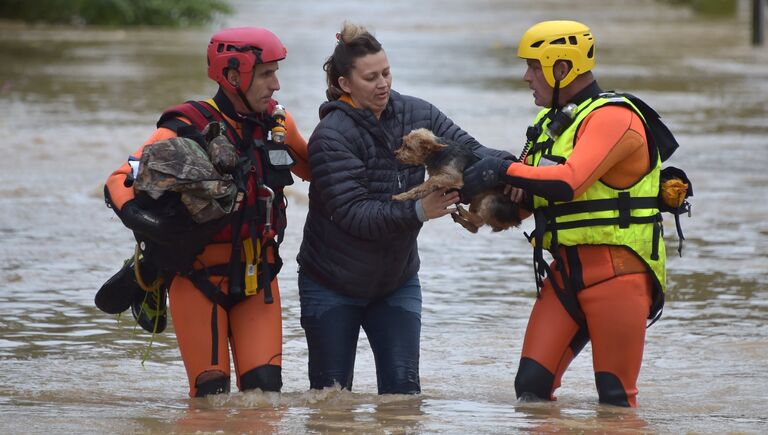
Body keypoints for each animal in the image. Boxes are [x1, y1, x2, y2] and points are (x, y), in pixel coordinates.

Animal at [390, 127, 520, 233]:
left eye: (408, 147)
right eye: (403, 143)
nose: (395, 153)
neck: (438, 154)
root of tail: (516, 219)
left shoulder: (452, 177)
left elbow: (428, 183)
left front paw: (401, 196)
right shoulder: (439, 180)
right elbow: (422, 188)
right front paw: (403, 196)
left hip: (489, 200)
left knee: (479, 220)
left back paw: (462, 212)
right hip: (477, 200)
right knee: (475, 228)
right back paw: (460, 217)